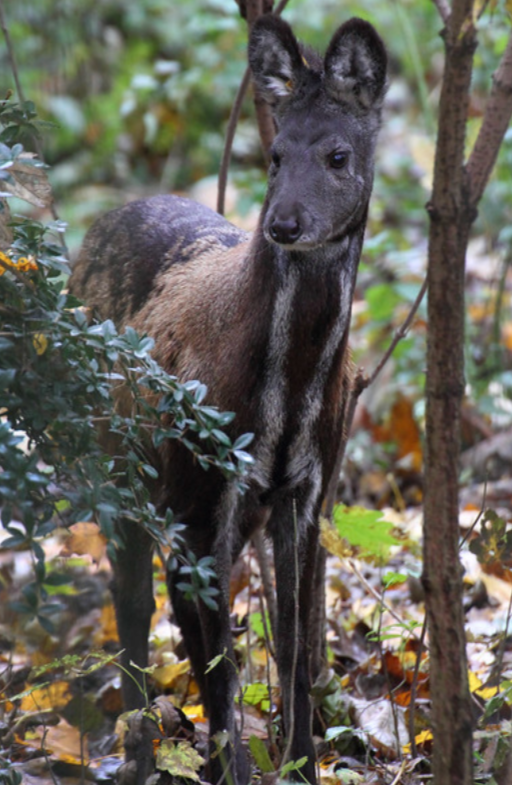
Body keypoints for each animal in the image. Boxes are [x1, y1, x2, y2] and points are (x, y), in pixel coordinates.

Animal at [70, 13, 386, 784]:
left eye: (338, 154)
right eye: (274, 154)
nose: (284, 223)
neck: (281, 403)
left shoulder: (304, 491)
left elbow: (294, 645)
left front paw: (301, 765)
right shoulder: (195, 492)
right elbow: (217, 662)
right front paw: (228, 767)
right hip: (116, 465)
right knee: (132, 609)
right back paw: (138, 751)